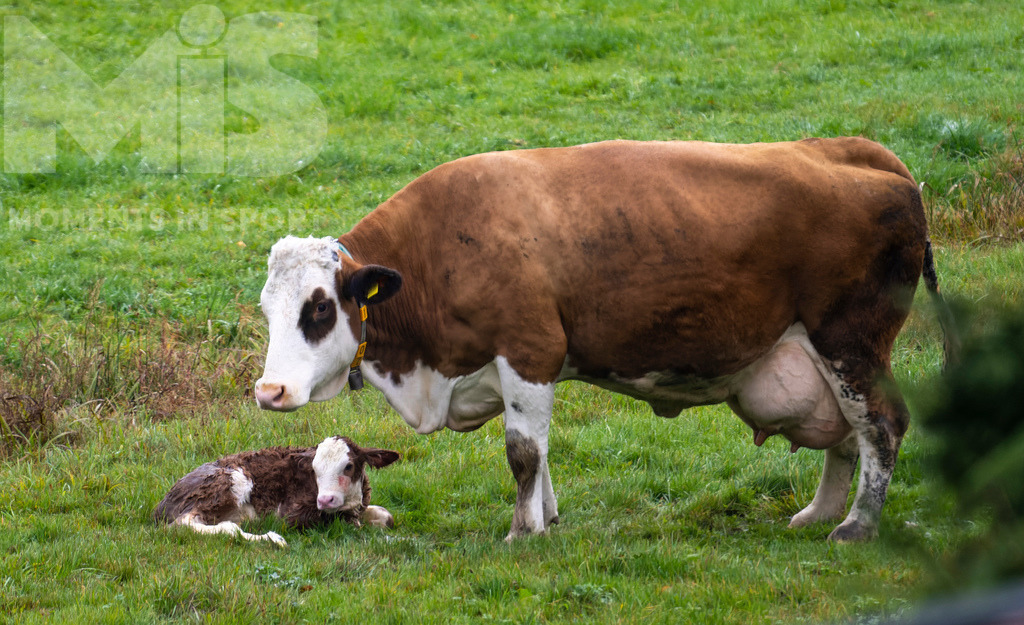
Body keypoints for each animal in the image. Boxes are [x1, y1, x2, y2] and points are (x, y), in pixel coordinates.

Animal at [253, 138, 958, 542]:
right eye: (267, 309)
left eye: (319, 309)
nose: (269, 391)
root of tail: (867, 153)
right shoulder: (516, 369)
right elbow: (540, 451)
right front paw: (548, 518)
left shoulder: (529, 350)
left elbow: (522, 454)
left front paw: (523, 531)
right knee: (846, 433)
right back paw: (820, 514)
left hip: (851, 342)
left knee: (880, 425)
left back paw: (857, 525)